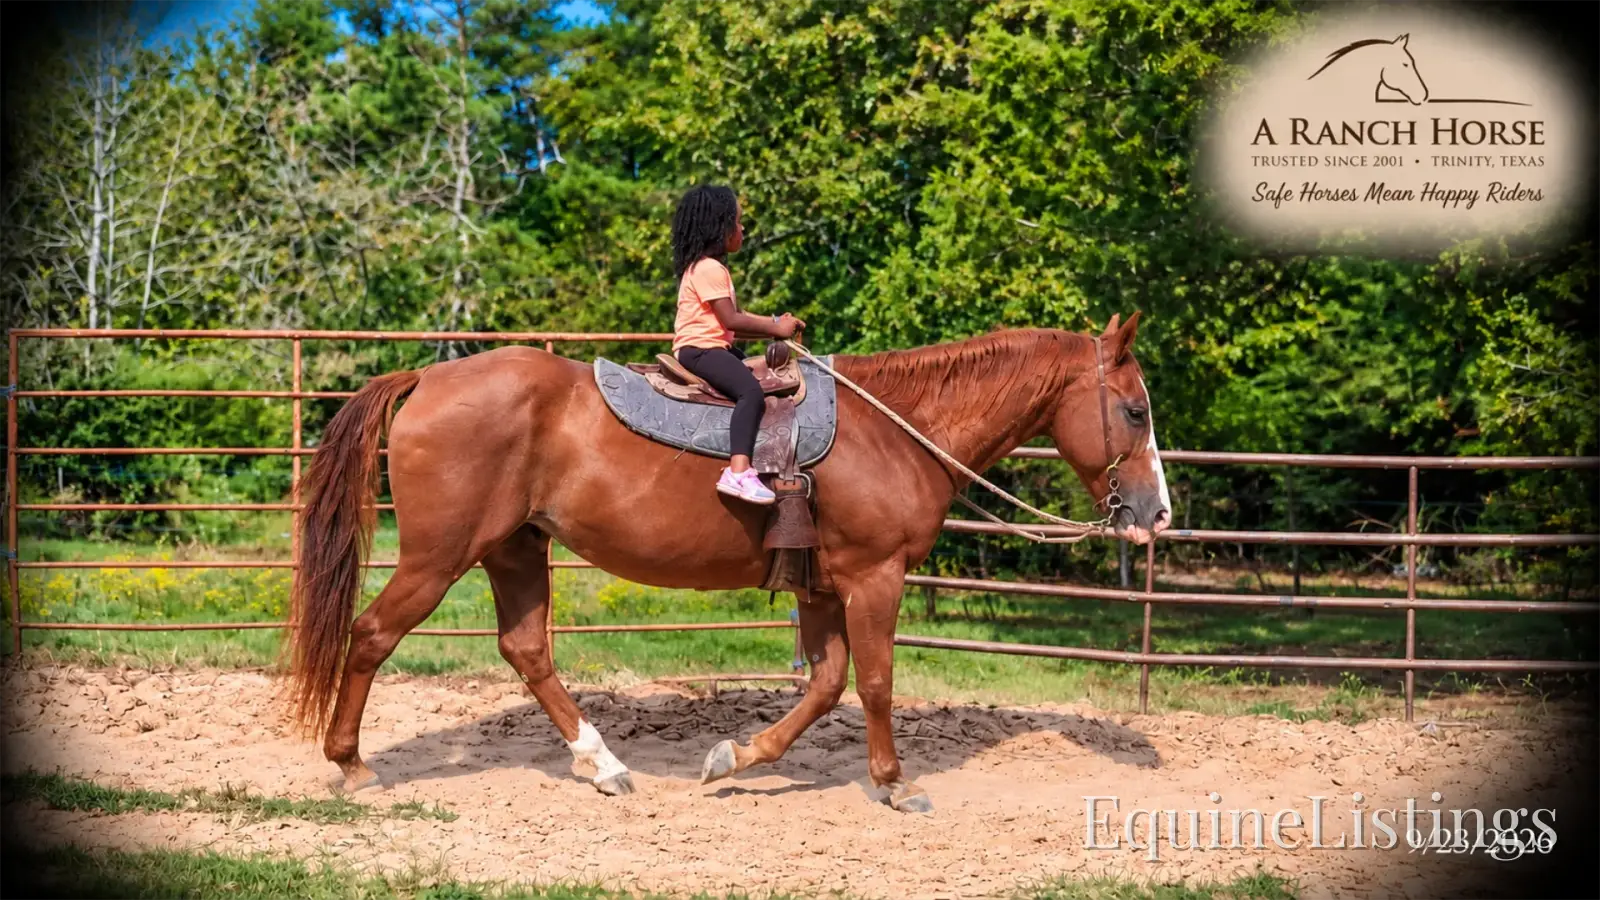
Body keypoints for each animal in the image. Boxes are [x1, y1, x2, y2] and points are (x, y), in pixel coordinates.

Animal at [279, 312, 1173, 814]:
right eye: (1134, 410)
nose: (1157, 513)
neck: (897, 428)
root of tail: (427, 377)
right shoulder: (874, 577)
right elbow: (877, 683)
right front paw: (894, 783)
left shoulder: (822, 585)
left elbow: (826, 684)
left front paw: (733, 758)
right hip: (439, 556)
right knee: (371, 636)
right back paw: (351, 764)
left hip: (516, 550)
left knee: (526, 650)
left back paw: (604, 766)